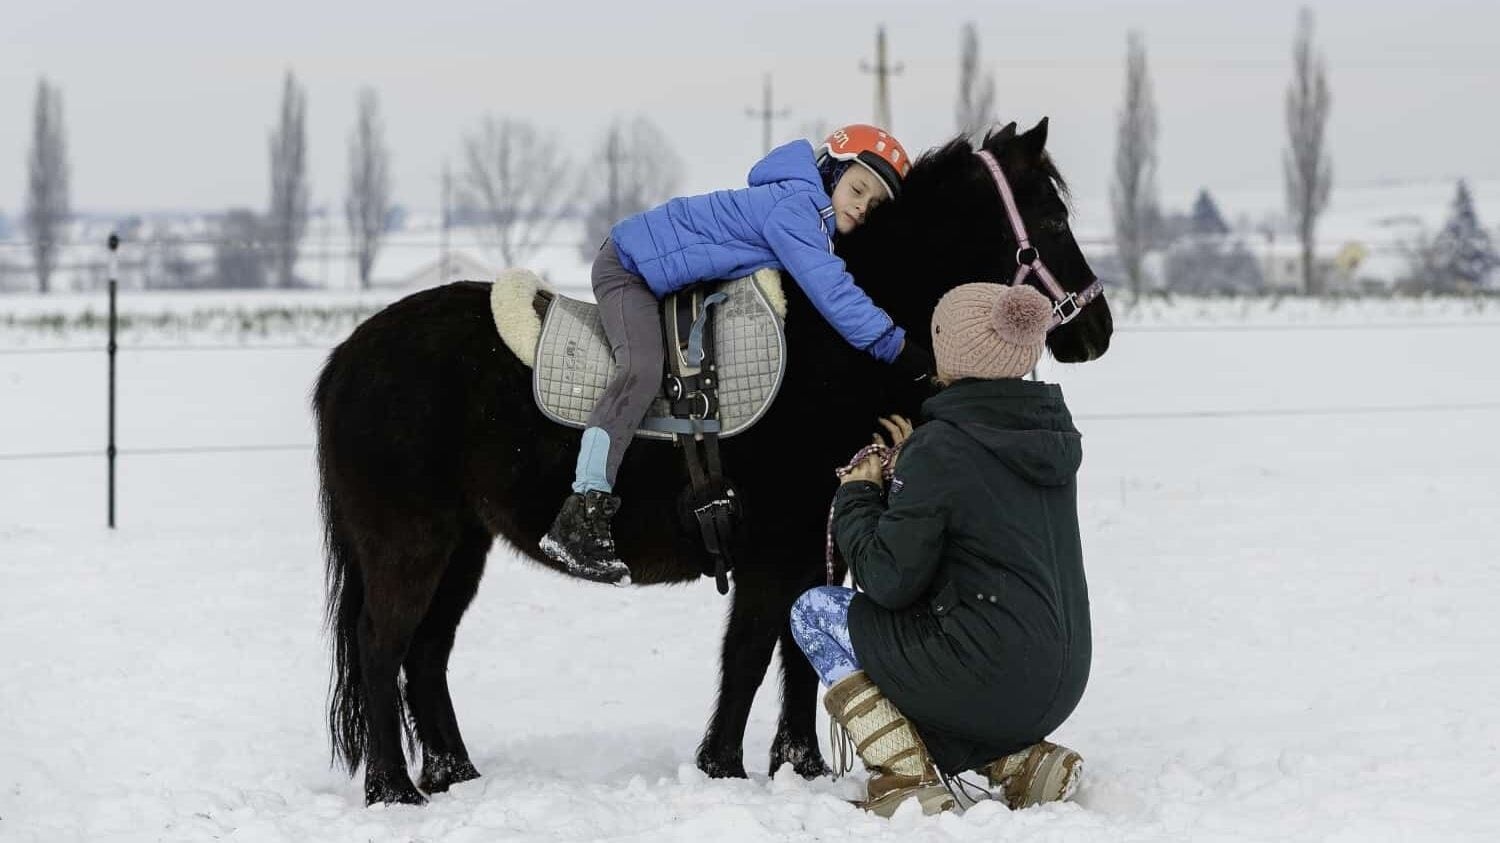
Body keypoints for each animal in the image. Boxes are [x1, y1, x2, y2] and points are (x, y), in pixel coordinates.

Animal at [316, 118, 1116, 798]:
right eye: (1051, 220)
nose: (1097, 330)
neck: (830, 350)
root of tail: (348, 360)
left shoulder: (817, 544)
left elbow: (791, 655)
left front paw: (799, 764)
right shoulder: (775, 546)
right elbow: (751, 653)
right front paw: (724, 766)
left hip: (461, 545)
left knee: (425, 653)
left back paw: (453, 773)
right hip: (411, 545)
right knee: (382, 648)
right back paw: (394, 788)